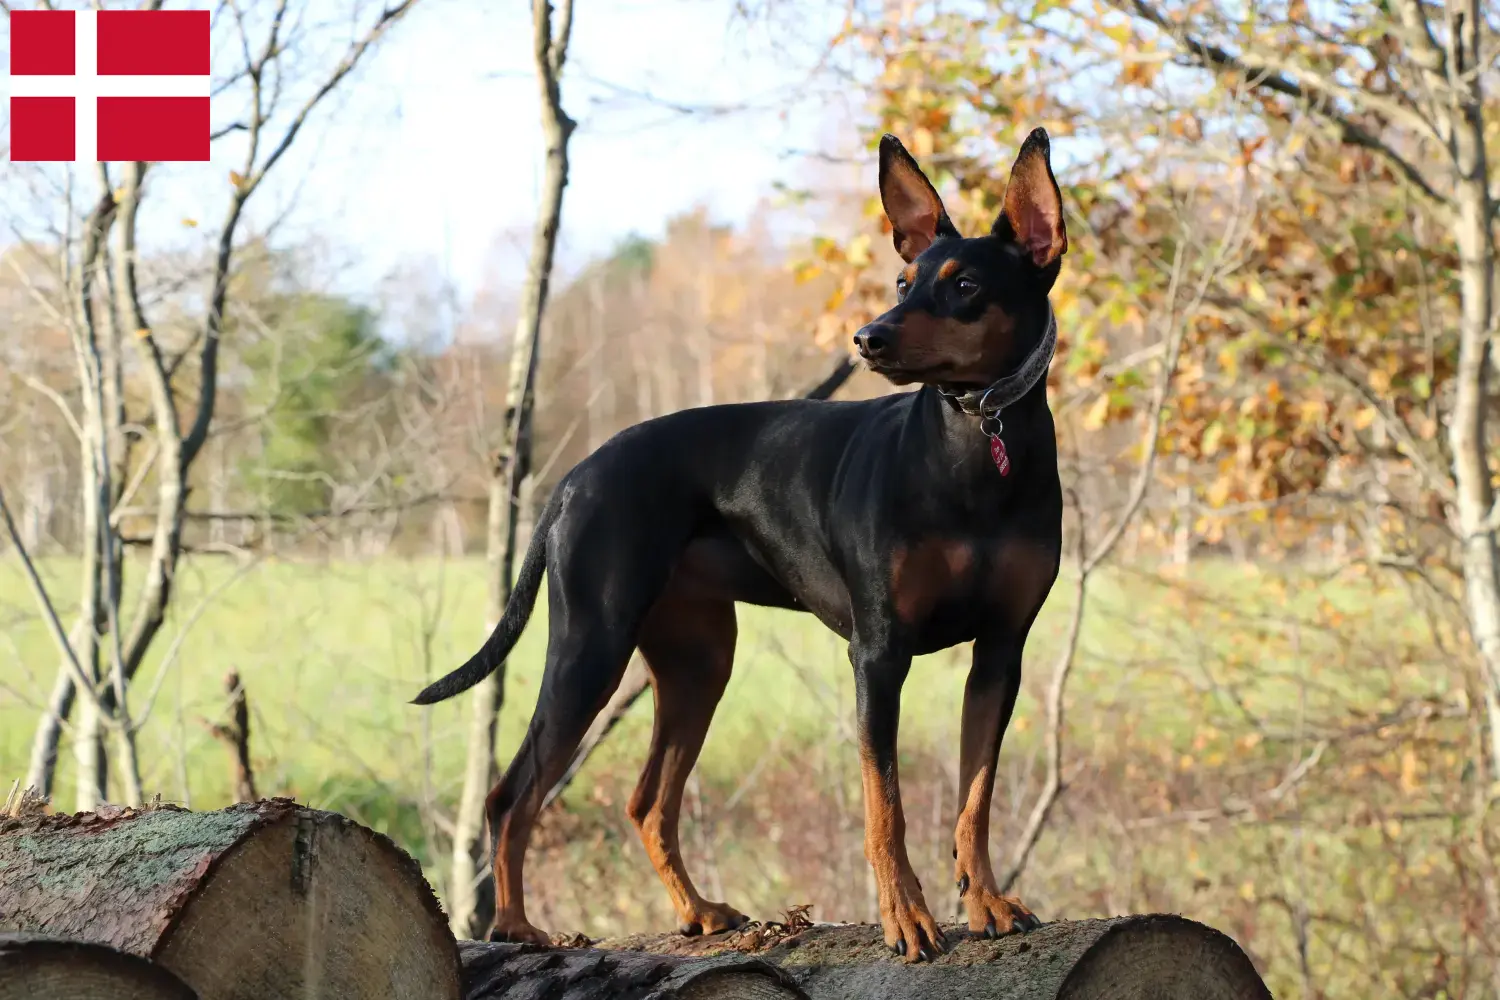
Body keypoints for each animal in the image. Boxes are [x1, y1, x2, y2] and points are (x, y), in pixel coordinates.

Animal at [414, 127, 1068, 959]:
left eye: (965, 286)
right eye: (902, 280)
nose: (868, 337)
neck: (974, 451)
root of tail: (576, 476)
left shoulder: (1000, 654)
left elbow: (973, 799)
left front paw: (984, 901)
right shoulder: (878, 653)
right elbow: (884, 808)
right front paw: (907, 918)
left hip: (697, 662)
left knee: (646, 802)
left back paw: (697, 911)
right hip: (592, 646)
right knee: (513, 794)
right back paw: (517, 926)